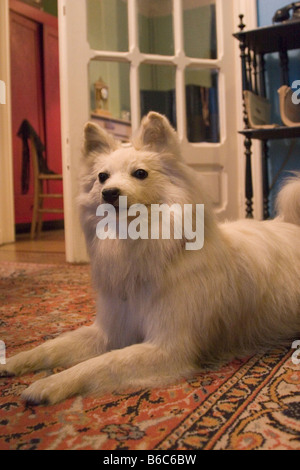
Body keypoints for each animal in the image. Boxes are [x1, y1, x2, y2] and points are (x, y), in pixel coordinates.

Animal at [0, 111, 300, 404]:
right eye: (102, 177)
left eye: (140, 173)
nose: (109, 193)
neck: (136, 245)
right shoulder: (110, 331)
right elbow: (53, 346)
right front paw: (14, 361)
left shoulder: (167, 347)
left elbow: (100, 364)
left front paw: (50, 383)